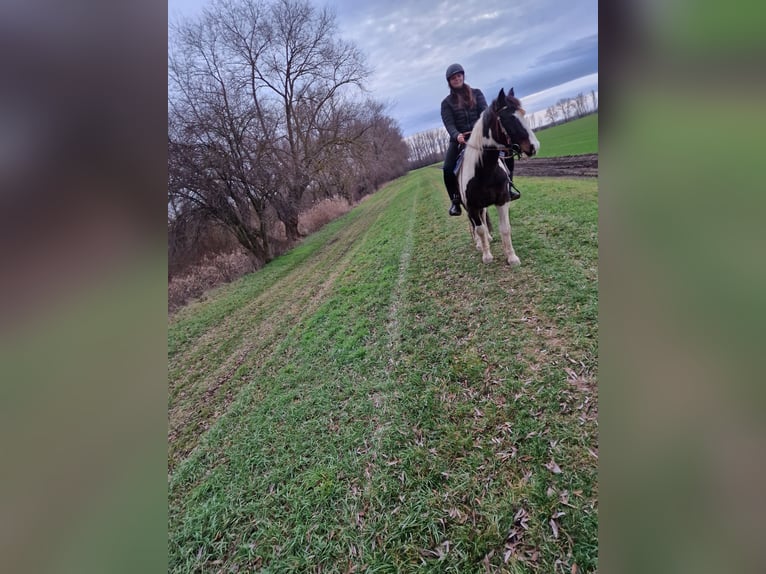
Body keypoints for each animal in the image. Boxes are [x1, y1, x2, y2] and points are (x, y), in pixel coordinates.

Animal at [460, 88, 544, 268]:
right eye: (510, 118)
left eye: (522, 113)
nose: (534, 147)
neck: (485, 171)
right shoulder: (472, 206)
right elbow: (479, 229)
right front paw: (486, 255)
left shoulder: (503, 200)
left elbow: (505, 228)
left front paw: (511, 257)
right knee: (475, 224)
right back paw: (480, 243)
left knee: (484, 218)